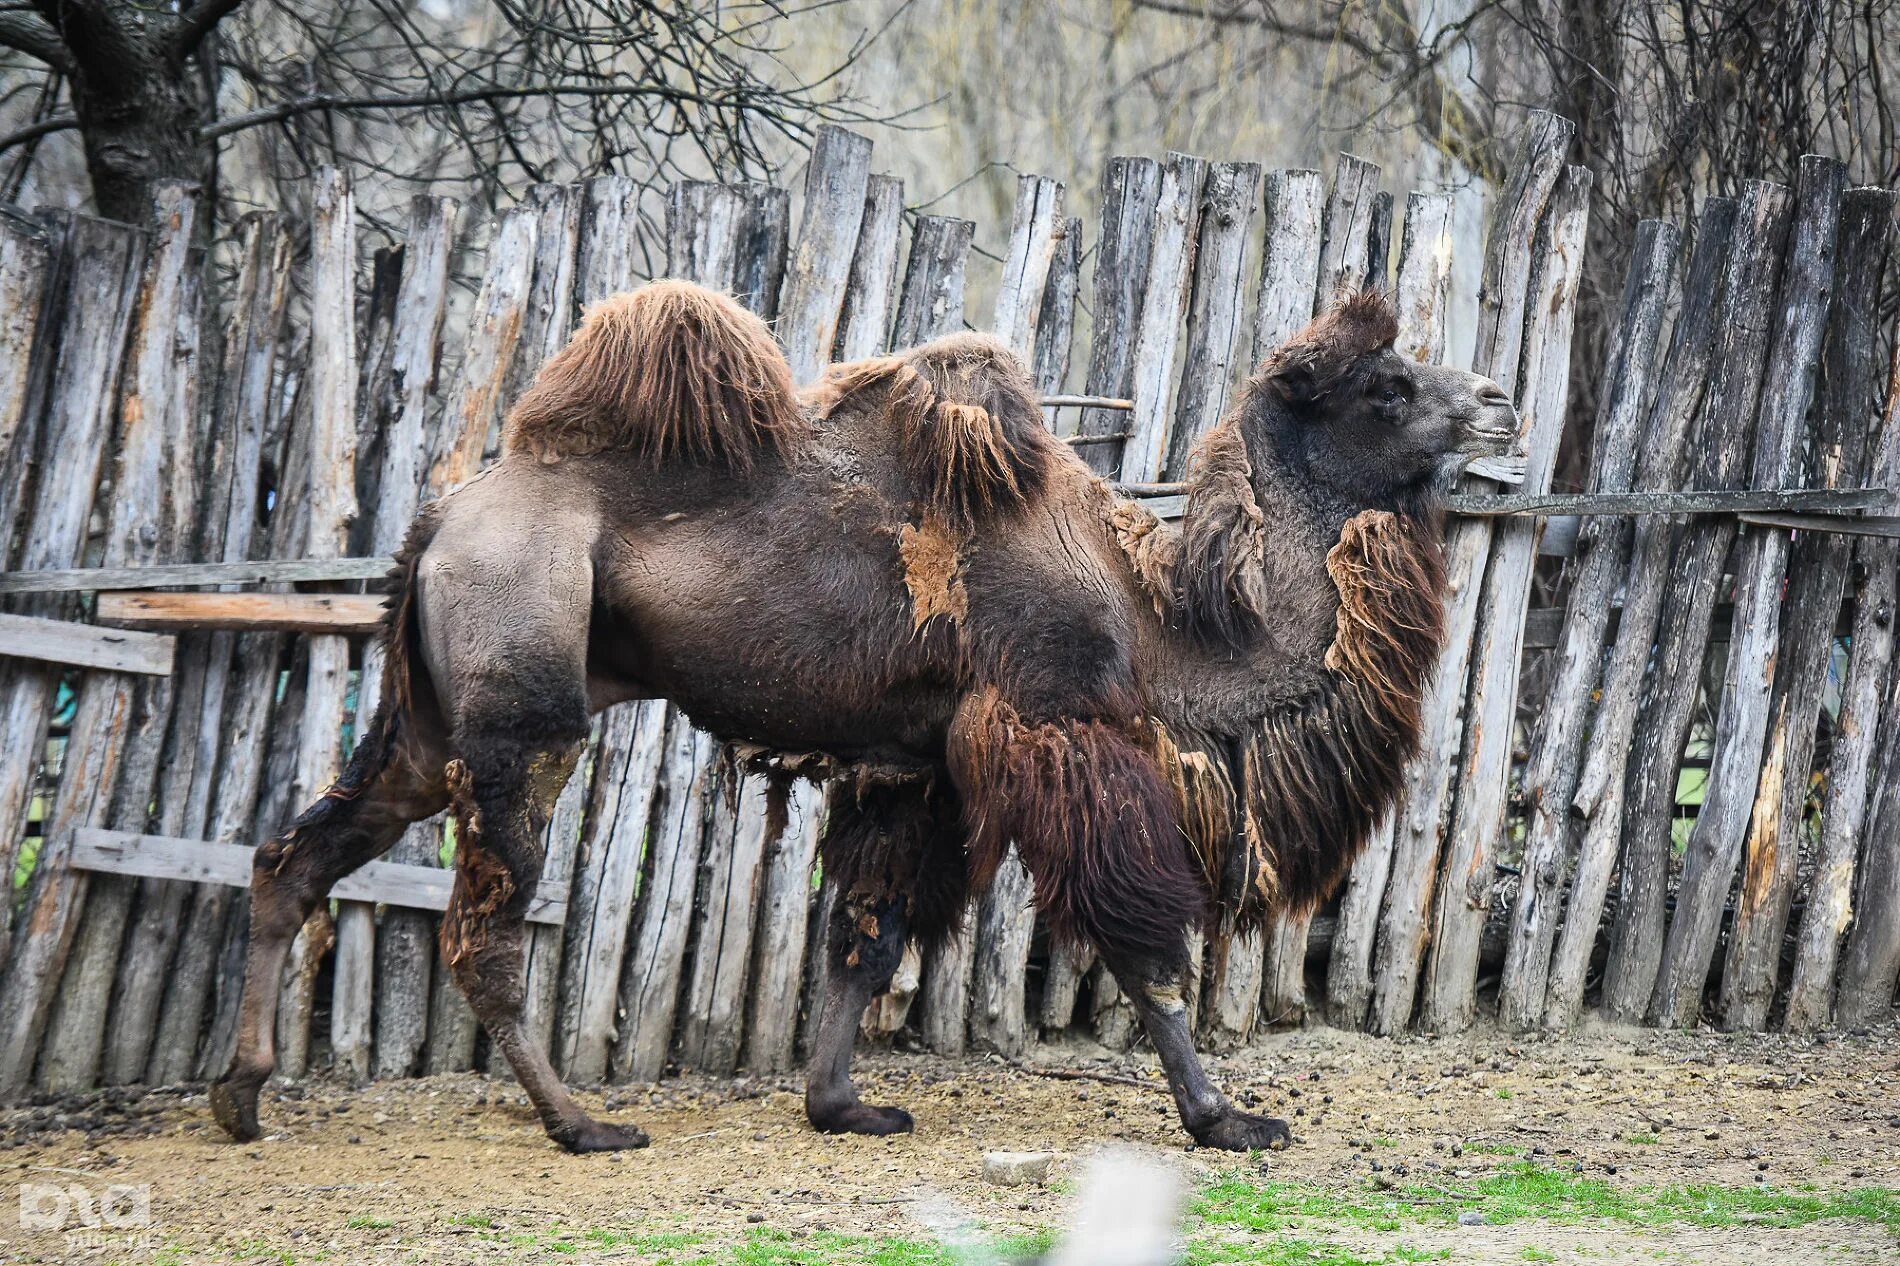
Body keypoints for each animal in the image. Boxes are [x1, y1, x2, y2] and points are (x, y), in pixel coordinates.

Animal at [208, 281, 1512, 1148]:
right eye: (1387, 387)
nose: (1498, 400)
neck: (1158, 615)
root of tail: (445, 516)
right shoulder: (1057, 729)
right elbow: (1140, 938)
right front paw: (1224, 1118)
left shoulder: (912, 765)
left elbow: (866, 930)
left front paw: (841, 1104)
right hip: (519, 718)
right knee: (483, 930)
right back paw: (581, 1122)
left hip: (422, 729)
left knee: (294, 855)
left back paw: (241, 1096)